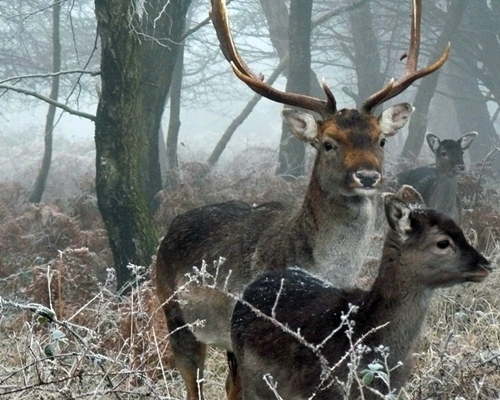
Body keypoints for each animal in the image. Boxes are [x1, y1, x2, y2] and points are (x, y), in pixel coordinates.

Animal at [154, 1, 452, 398]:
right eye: (328, 143)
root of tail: (170, 228)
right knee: (196, 383)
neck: (322, 267)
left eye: (381, 140)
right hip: (176, 316)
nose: (368, 176)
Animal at [232, 187, 490, 400]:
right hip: (249, 379)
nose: (486, 264)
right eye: (443, 242)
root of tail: (251, 286)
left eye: (460, 231)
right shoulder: (325, 390)